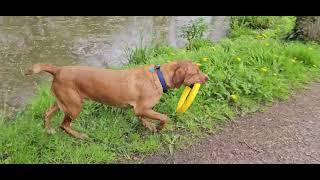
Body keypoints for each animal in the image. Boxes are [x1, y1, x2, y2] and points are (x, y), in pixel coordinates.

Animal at [26, 60, 209, 139]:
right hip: (75, 106)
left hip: (63, 102)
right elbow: (164, 117)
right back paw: (79, 136)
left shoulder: (139, 109)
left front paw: (149, 125)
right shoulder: (142, 108)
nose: (207, 78)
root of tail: (58, 70)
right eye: (195, 72)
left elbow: (142, 117)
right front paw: (158, 127)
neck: (158, 77)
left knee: (48, 114)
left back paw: (48, 130)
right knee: (64, 125)